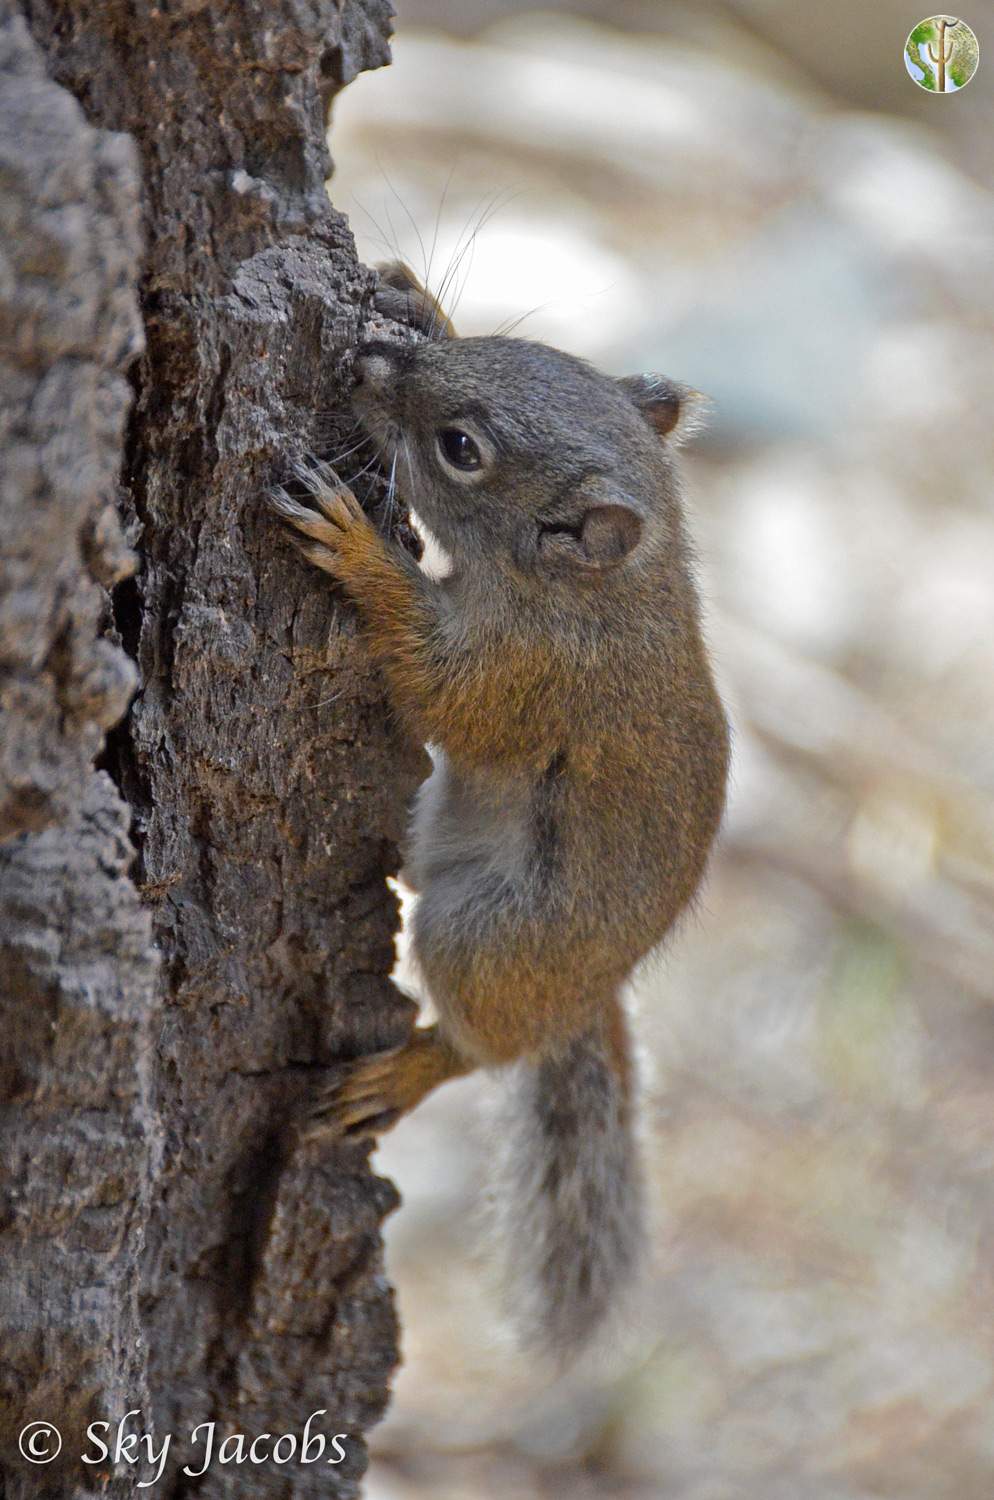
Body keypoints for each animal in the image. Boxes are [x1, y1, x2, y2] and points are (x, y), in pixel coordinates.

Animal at [272, 261, 731, 1362]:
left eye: (461, 450)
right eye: (526, 349)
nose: (370, 363)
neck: (607, 591)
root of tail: (583, 998)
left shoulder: (529, 676)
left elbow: (441, 689)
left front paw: (359, 548)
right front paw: (413, 295)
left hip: (489, 939)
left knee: (476, 1046)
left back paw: (403, 1071)